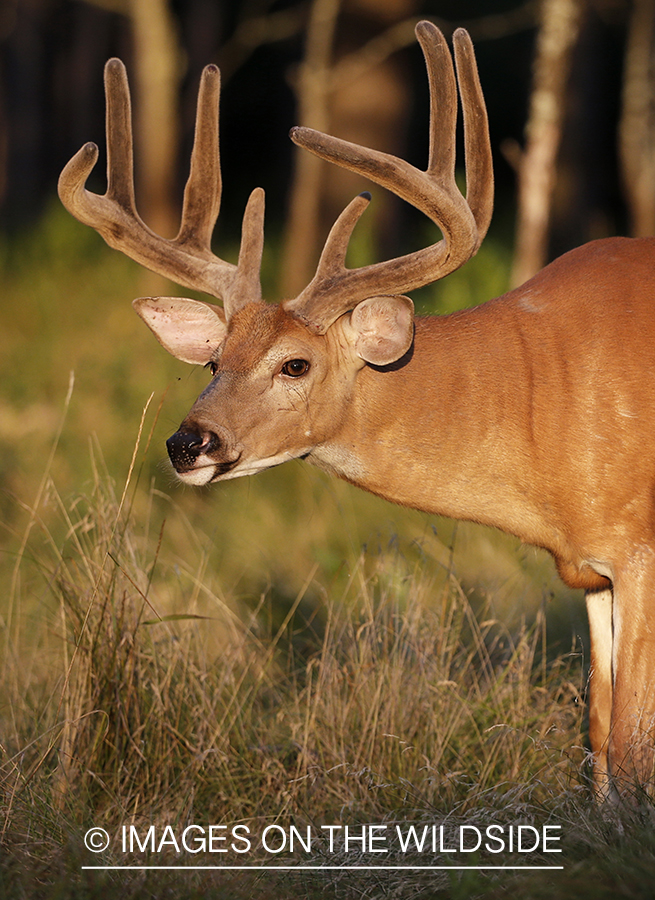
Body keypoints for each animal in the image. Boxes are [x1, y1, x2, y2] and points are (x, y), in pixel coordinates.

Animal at [57, 21, 655, 800]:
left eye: (295, 364)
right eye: (214, 361)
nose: (188, 443)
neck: (541, 395)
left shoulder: (638, 545)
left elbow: (631, 747)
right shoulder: (590, 568)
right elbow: (600, 739)